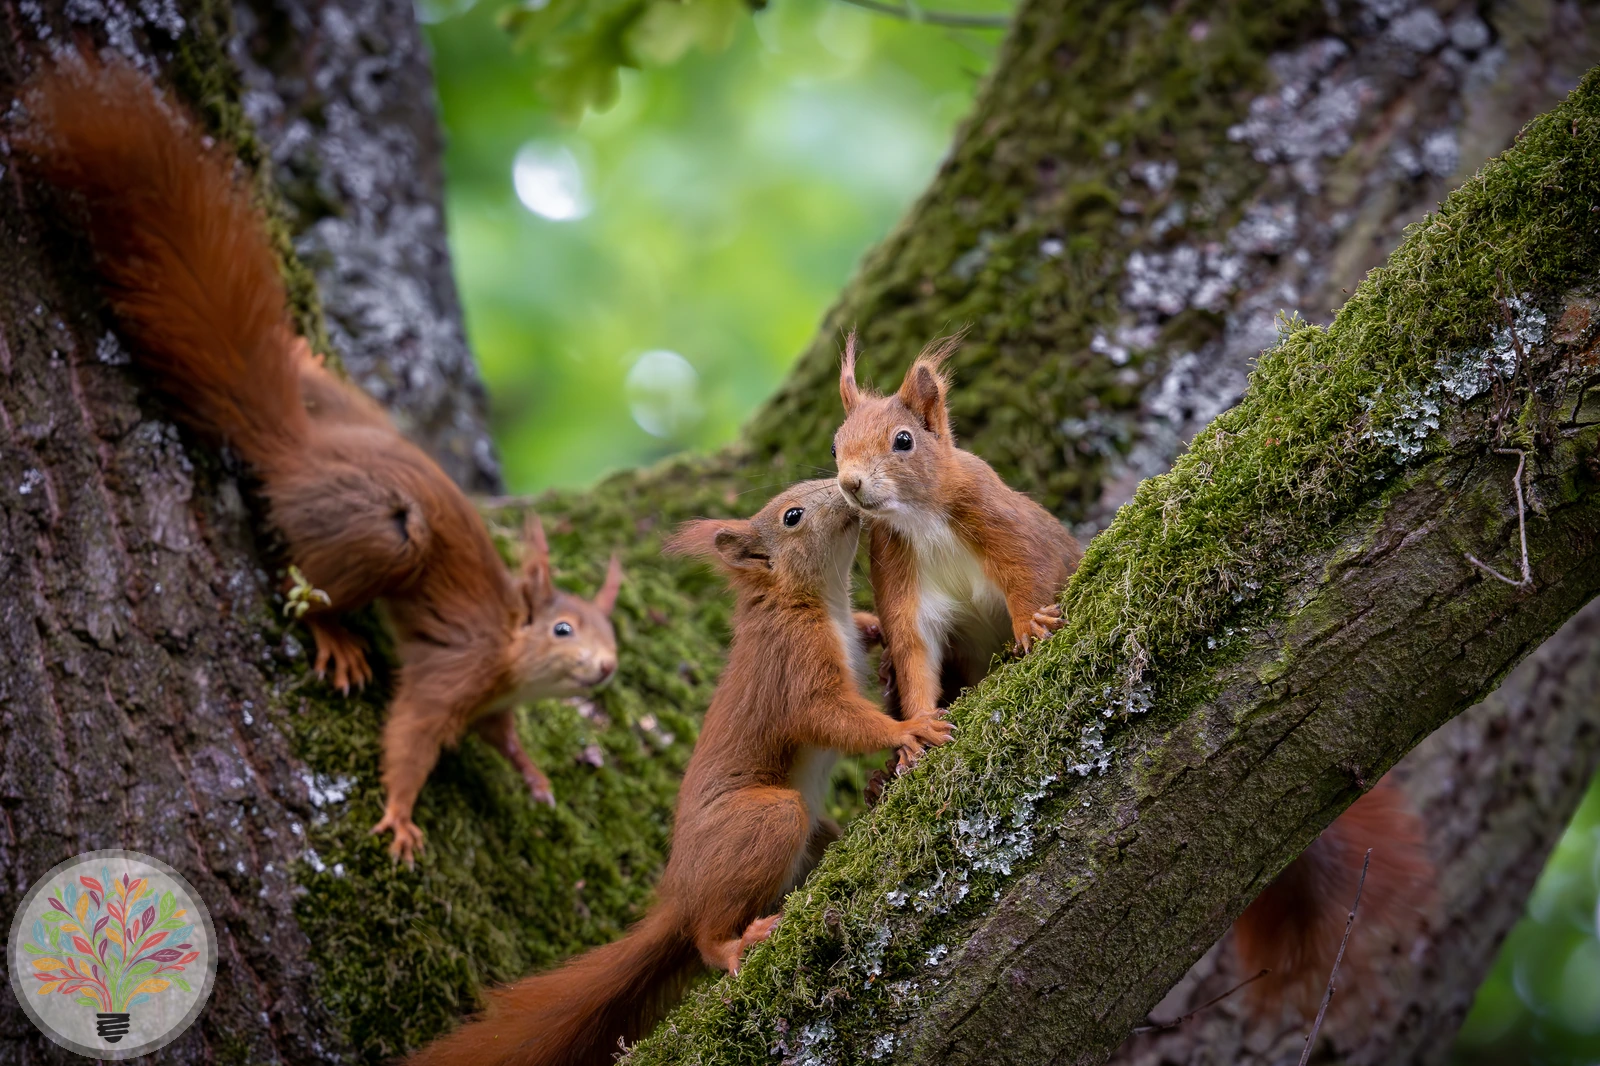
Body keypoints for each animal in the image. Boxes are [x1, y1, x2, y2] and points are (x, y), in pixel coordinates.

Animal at [16, 53, 623, 864]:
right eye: (563, 631)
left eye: (610, 634)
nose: (606, 668)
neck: (508, 650)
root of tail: (297, 451)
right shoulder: (455, 668)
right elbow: (413, 733)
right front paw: (400, 814)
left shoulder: (492, 701)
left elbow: (501, 736)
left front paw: (531, 774)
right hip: (382, 534)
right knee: (293, 579)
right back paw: (334, 637)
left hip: (359, 425)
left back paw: (303, 356)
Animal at [407, 479, 951, 1066]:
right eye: (793, 515)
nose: (844, 487)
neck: (816, 602)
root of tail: (682, 894)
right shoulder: (794, 665)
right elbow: (834, 718)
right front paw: (908, 729)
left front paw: (879, 635)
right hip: (763, 823)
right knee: (709, 937)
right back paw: (734, 944)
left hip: (809, 836)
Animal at [831, 332, 1084, 725]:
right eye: (834, 448)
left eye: (903, 440)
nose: (849, 483)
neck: (921, 520)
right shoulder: (895, 564)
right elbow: (913, 646)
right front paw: (920, 724)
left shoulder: (997, 517)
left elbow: (1032, 569)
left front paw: (1031, 623)